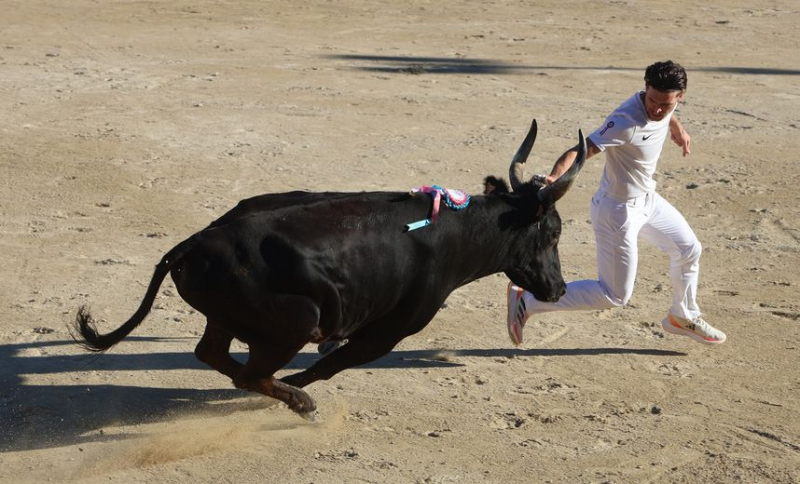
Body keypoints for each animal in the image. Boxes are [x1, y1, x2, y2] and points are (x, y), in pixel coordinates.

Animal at [73, 120, 588, 416]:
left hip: (227, 316)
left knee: (213, 354)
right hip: (295, 321)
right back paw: (298, 402)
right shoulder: (389, 331)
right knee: (248, 371)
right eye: (554, 233)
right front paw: (298, 388)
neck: (458, 231)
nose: (559, 288)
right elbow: (330, 365)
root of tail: (191, 244)